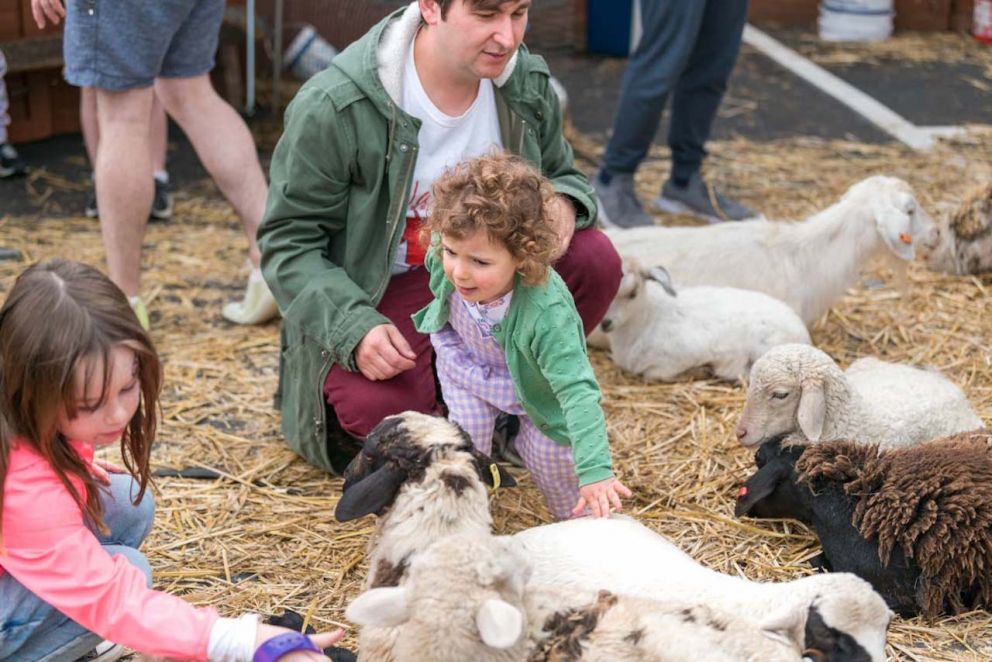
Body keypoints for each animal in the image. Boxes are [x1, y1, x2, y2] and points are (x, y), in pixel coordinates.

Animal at [600, 260, 808, 384]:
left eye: (632, 293)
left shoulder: (676, 359)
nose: (605, 323)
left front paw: (697, 371)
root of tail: (804, 335)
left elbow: (652, 375)